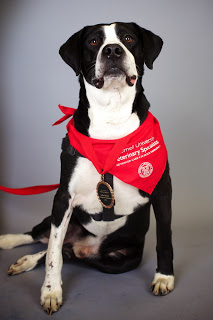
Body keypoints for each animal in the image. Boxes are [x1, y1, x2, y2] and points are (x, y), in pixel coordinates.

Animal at [0, 23, 174, 316]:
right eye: (93, 41)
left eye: (128, 38)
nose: (113, 50)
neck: (111, 114)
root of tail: (86, 247)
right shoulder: (63, 197)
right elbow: (53, 255)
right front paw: (51, 291)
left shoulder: (161, 189)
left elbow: (165, 238)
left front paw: (164, 277)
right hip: (58, 219)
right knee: (46, 241)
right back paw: (10, 244)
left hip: (118, 261)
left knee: (71, 254)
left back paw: (32, 259)